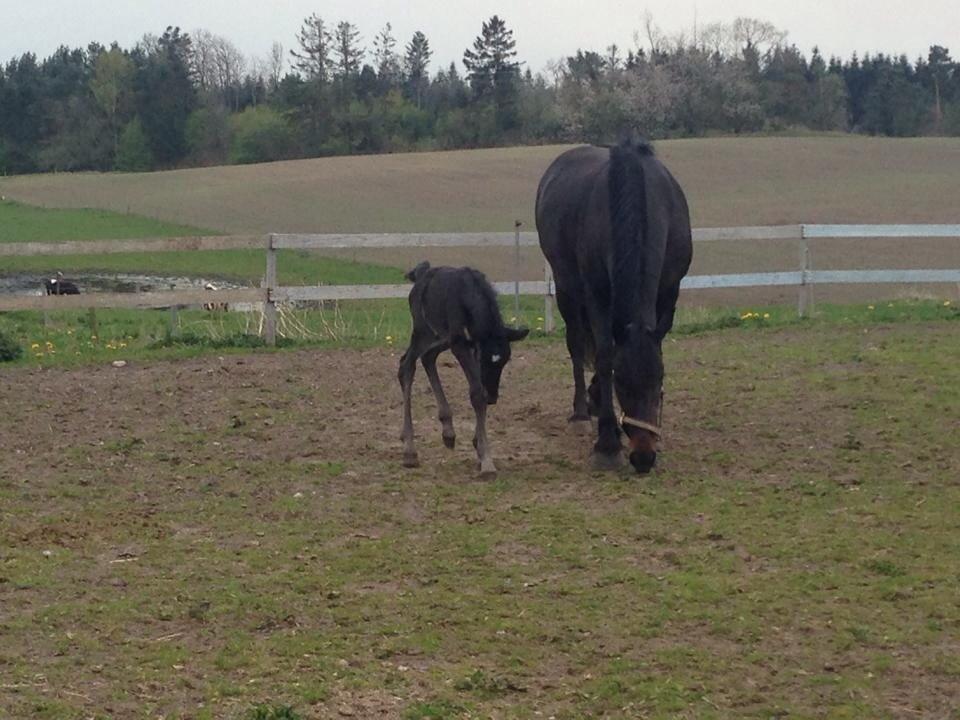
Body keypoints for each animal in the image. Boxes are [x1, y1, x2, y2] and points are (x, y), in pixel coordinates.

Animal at [400, 260, 532, 478]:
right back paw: (410, 450)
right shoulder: (461, 345)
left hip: (442, 338)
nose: (493, 397)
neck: (468, 295)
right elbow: (477, 393)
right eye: (483, 359)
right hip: (423, 331)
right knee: (406, 366)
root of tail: (420, 275)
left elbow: (478, 393)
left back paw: (448, 431)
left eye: (505, 361)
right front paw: (486, 461)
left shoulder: (460, 343)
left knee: (428, 357)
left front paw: (478, 446)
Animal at [536, 138, 692, 476]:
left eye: (659, 378)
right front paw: (607, 444)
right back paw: (581, 413)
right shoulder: (597, 294)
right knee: (577, 344)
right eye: (621, 381)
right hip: (566, 287)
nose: (643, 457)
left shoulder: (669, 291)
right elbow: (605, 355)